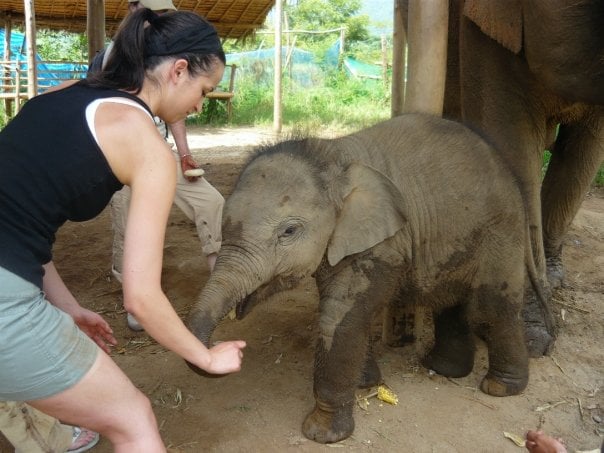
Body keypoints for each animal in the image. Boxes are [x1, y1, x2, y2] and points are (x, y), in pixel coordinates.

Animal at [186, 112, 548, 442]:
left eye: (288, 231)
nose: (220, 345)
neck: (330, 155)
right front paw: (366, 383)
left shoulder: (382, 244)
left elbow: (339, 319)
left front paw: (322, 433)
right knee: (450, 302)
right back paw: (442, 368)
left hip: (500, 231)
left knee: (489, 308)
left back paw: (499, 387)